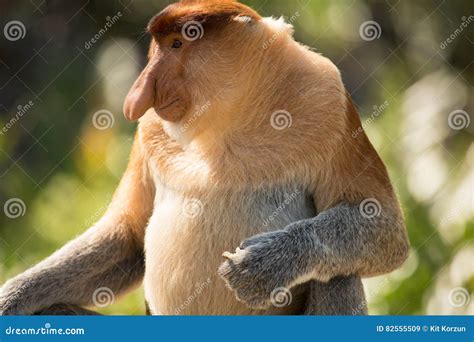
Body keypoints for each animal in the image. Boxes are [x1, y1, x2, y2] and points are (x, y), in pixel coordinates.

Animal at [0, 0, 408, 316]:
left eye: (178, 43)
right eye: (159, 46)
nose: (138, 93)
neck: (226, 122)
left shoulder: (328, 100)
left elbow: (382, 225)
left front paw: (263, 267)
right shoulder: (149, 130)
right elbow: (128, 235)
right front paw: (11, 298)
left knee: (339, 275)